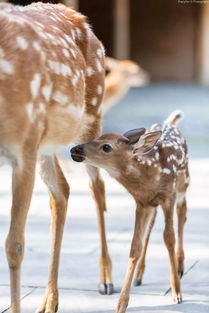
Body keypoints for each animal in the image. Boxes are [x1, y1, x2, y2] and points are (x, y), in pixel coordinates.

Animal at [0, 3, 108, 312]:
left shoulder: (23, 145)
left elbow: (14, 244)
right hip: (44, 143)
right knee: (61, 190)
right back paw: (50, 300)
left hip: (91, 114)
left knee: (97, 186)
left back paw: (105, 280)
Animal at [71, 110, 189, 312]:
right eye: (97, 137)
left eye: (106, 147)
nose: (75, 149)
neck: (150, 174)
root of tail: (170, 123)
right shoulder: (141, 202)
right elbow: (135, 246)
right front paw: (120, 304)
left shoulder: (169, 195)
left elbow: (169, 238)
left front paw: (177, 293)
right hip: (153, 205)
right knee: (151, 227)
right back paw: (139, 277)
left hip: (183, 181)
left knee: (183, 212)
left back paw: (181, 267)